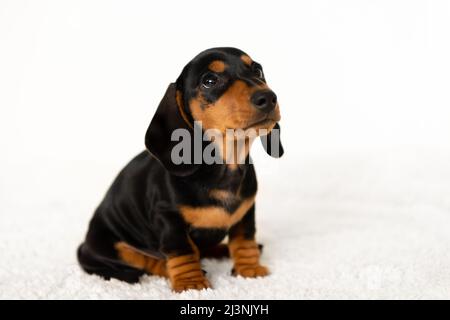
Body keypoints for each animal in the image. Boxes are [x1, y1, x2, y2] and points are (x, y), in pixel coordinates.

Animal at [76, 47, 282, 292]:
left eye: (257, 70)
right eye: (209, 81)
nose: (267, 98)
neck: (225, 166)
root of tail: (85, 246)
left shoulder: (247, 211)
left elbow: (244, 240)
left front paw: (249, 269)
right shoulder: (168, 219)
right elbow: (182, 251)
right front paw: (191, 282)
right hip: (112, 247)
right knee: (145, 261)